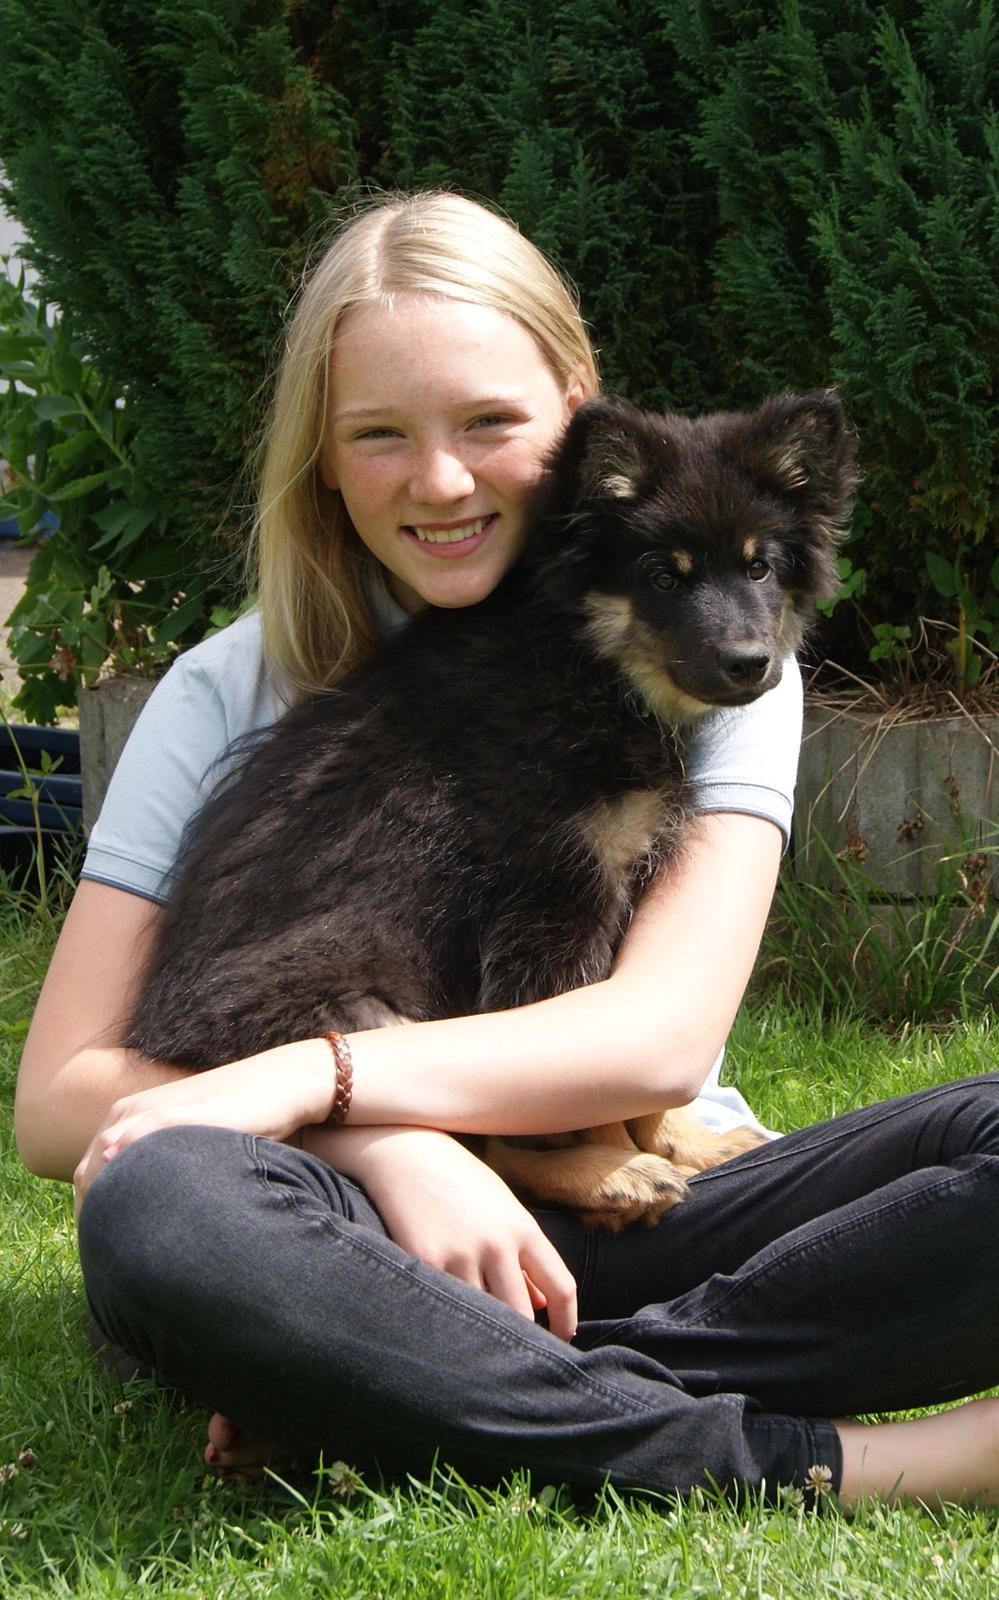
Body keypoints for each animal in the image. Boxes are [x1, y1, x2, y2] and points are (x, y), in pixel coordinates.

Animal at [124, 393, 858, 1228]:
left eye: (758, 566)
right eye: (660, 578)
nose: (749, 664)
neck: (581, 661)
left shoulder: (613, 881)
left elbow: (629, 1057)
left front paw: (686, 1140)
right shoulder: (550, 903)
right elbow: (591, 1082)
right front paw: (625, 1159)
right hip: (374, 1014)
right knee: (481, 1139)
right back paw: (604, 1178)